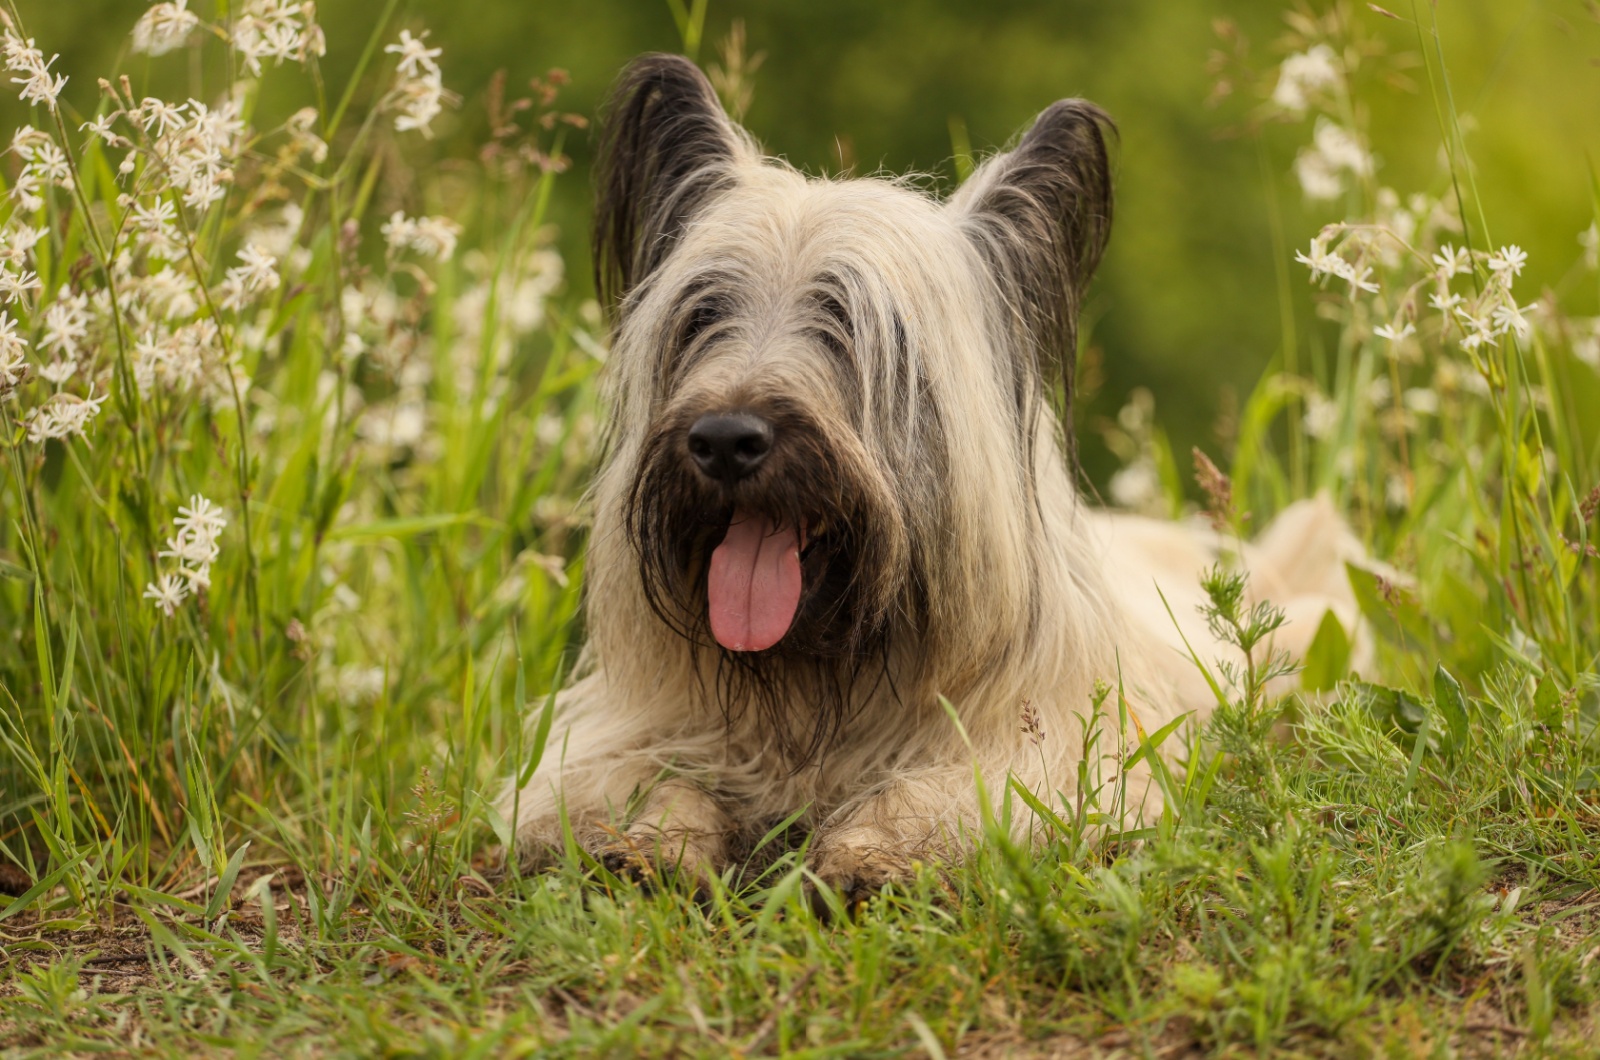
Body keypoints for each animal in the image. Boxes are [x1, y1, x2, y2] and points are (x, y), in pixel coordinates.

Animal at [496, 52, 1363, 896]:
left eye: (849, 322)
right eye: (702, 315)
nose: (724, 440)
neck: (820, 685)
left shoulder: (1062, 750)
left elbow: (969, 789)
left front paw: (876, 851)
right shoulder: (615, 727)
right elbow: (615, 775)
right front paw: (639, 840)